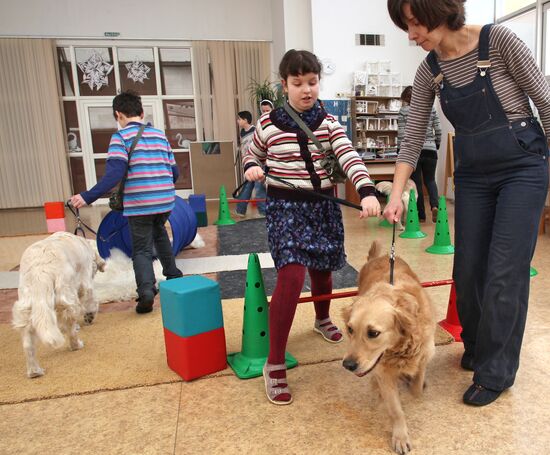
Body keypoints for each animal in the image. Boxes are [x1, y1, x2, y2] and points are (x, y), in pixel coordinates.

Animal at [12, 233, 105, 380]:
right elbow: (91, 301)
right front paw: (89, 316)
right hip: (66, 295)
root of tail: (39, 269)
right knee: (71, 328)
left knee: (28, 344)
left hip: (25, 306)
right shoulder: (85, 282)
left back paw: (34, 371)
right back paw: (76, 345)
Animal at [342, 240, 438, 454]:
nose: (348, 365)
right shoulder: (383, 371)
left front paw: (414, 385)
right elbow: (395, 409)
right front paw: (400, 436)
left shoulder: (426, 353)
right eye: (350, 329)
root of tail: (381, 256)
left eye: (373, 333)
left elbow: (417, 388)